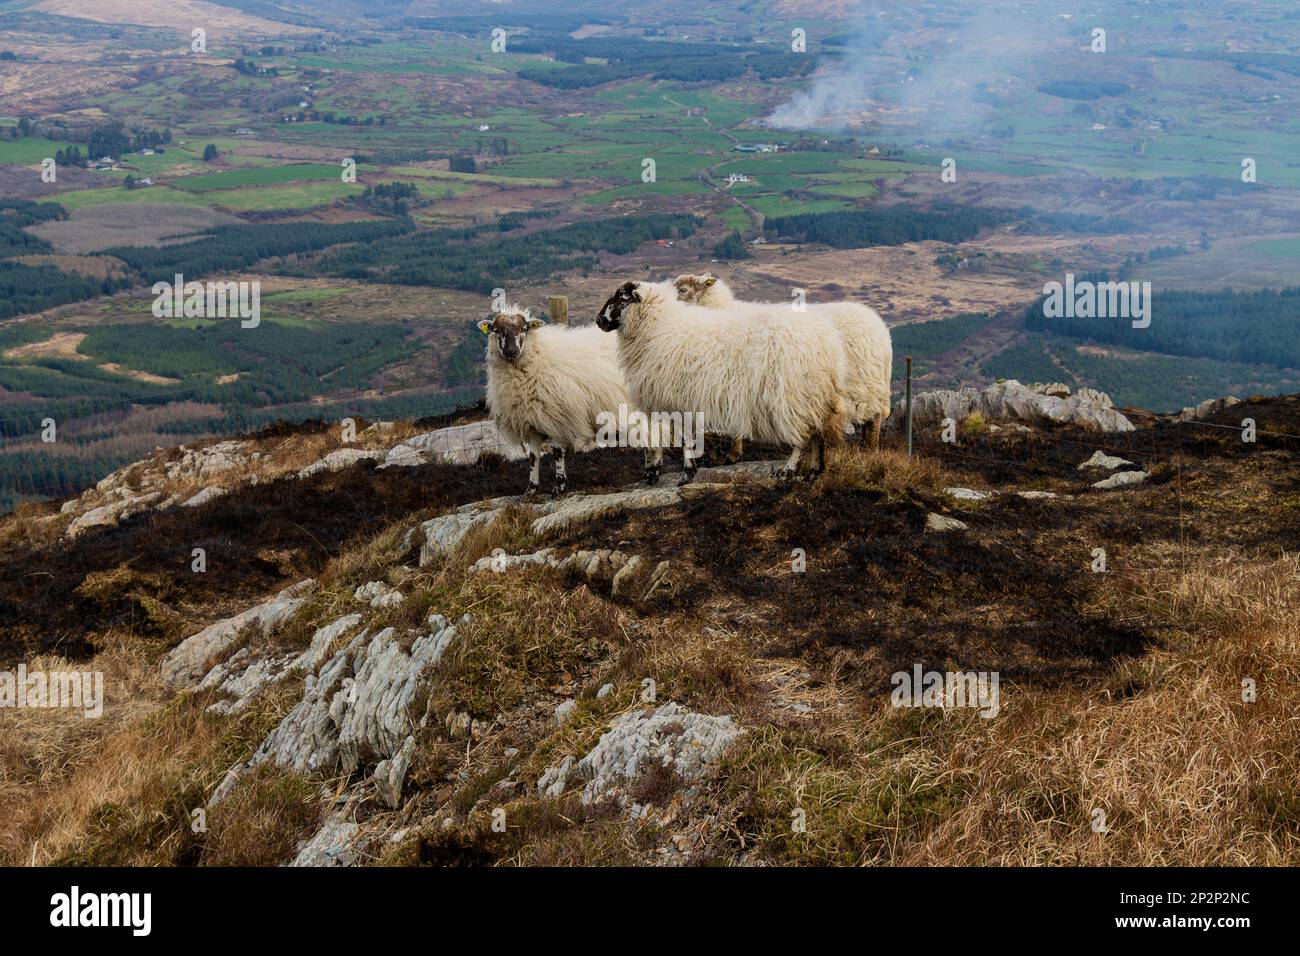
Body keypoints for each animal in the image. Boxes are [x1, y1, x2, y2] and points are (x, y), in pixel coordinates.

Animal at [478, 306, 629, 496]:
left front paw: (560, 486)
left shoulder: (557, 417)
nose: (511, 352)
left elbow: (557, 452)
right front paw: (531, 489)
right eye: (496, 330)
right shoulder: (532, 421)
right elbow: (533, 457)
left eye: (524, 329)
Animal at [595, 280, 847, 481]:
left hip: (793, 396)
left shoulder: (678, 398)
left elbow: (685, 437)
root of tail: (826, 339)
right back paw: (814, 471)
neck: (658, 326)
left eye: (622, 298)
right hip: (814, 395)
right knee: (817, 433)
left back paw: (789, 470)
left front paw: (686, 474)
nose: (598, 321)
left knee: (803, 437)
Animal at [670, 274, 894, 455]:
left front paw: (733, 454)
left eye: (683, 290)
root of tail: (882, 332)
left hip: (863, 383)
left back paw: (870, 449)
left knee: (873, 417)